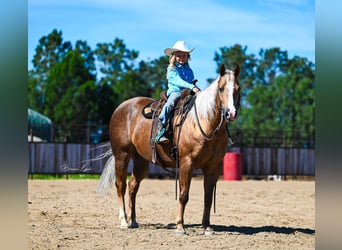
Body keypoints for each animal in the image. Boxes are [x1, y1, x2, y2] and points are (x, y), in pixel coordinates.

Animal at [96, 63, 240, 235]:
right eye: (221, 88)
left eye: (238, 89)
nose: (231, 113)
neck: (204, 123)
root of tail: (121, 108)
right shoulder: (187, 163)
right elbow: (184, 195)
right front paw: (180, 226)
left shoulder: (213, 167)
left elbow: (208, 198)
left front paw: (207, 227)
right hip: (122, 155)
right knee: (121, 185)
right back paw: (124, 221)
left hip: (141, 160)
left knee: (132, 186)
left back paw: (134, 221)